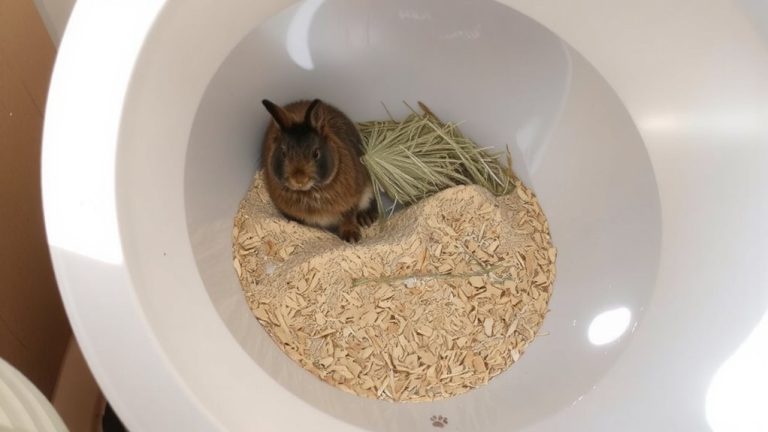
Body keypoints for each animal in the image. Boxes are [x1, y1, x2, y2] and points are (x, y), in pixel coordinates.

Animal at [261, 98, 378, 242]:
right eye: (283, 153)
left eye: (316, 153)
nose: (299, 180)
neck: (311, 191)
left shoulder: (352, 201)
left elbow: (349, 217)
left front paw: (351, 236)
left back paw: (367, 218)